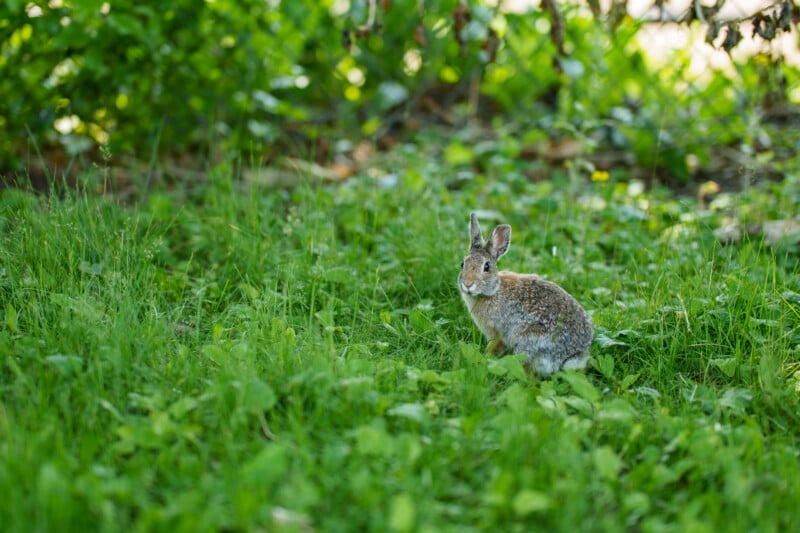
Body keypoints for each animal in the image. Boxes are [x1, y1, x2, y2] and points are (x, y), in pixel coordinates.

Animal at [457, 213, 593, 375]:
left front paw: (484, 358)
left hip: (527, 338)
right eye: (462, 264)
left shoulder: (496, 331)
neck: (493, 291)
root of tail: (572, 356)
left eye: (486, 266)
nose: (467, 284)